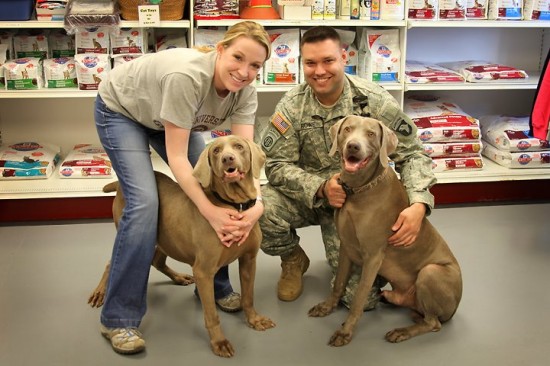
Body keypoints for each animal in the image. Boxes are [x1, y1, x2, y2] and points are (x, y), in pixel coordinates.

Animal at [88, 136, 276, 356]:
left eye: (239, 146)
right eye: (216, 151)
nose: (227, 159)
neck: (234, 205)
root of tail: (120, 184)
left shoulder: (248, 260)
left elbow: (248, 297)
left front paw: (255, 320)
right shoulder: (203, 271)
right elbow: (211, 314)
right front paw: (219, 342)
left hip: (166, 238)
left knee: (157, 261)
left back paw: (179, 277)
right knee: (113, 262)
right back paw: (101, 293)